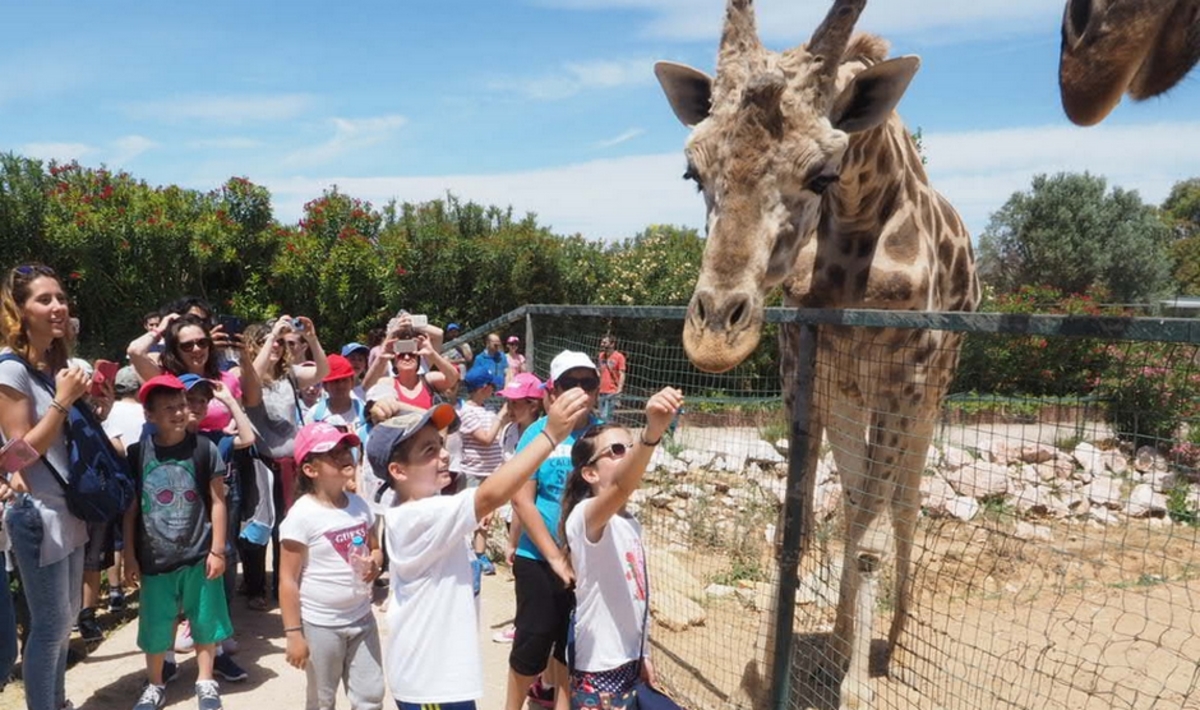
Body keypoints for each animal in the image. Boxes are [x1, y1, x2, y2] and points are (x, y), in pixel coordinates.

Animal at [657, 1, 984, 710]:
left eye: (822, 174)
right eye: (694, 172)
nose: (713, 337)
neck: (860, 224)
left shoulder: (905, 377)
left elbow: (870, 534)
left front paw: (857, 686)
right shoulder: (803, 365)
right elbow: (798, 523)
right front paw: (763, 671)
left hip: (931, 392)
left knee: (900, 505)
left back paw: (893, 644)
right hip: (850, 399)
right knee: (859, 498)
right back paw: (835, 642)